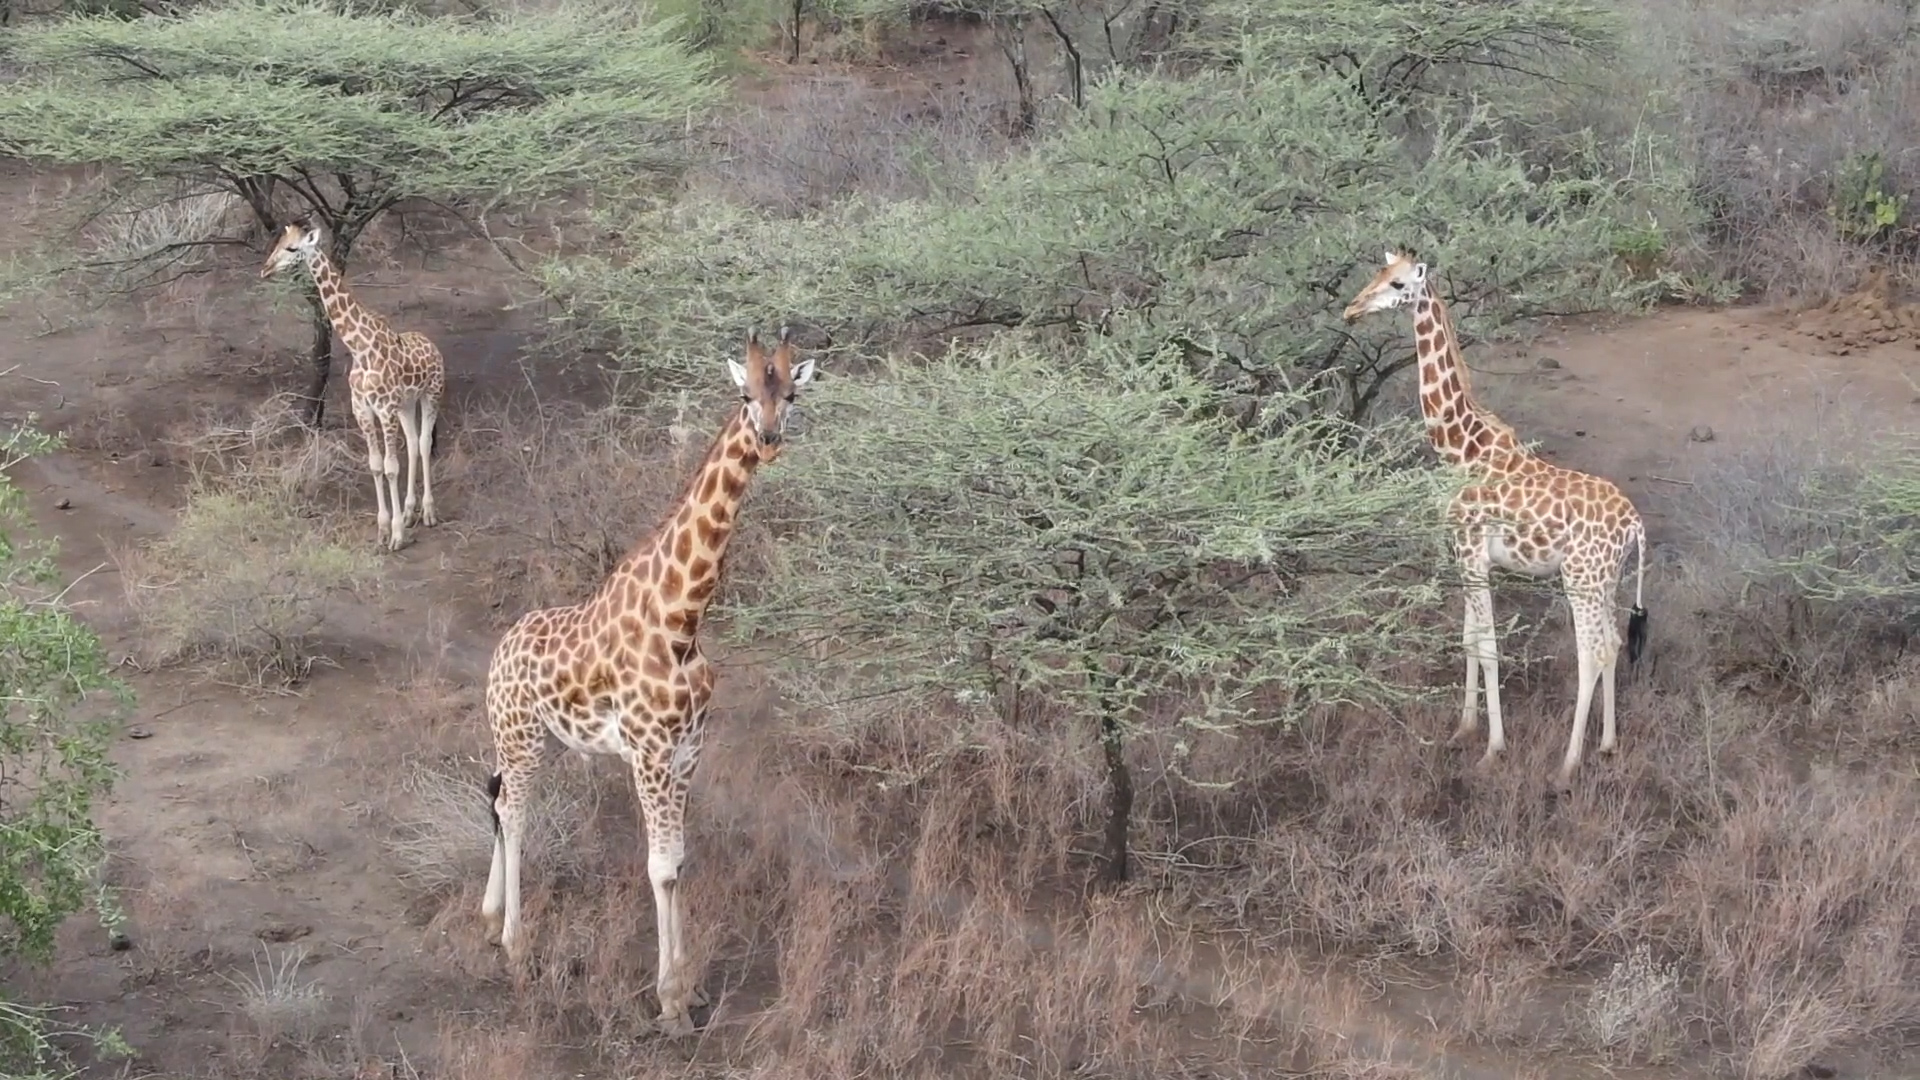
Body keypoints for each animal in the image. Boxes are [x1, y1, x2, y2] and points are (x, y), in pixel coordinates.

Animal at [261, 221, 446, 552]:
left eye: (292, 248)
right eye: (279, 243)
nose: (265, 269)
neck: (360, 347)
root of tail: (433, 346)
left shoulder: (384, 409)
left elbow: (390, 466)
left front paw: (397, 536)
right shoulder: (363, 408)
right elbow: (375, 464)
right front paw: (383, 530)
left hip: (431, 394)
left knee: (424, 442)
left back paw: (427, 513)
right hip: (406, 404)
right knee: (413, 443)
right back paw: (409, 511)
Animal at [480, 326, 816, 1036]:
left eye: (792, 394)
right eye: (745, 395)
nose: (770, 441)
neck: (683, 618)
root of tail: (498, 651)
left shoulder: (688, 751)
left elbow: (679, 861)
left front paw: (690, 989)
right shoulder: (650, 754)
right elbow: (660, 869)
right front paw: (668, 1003)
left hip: (542, 741)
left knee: (498, 801)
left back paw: (492, 915)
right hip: (520, 736)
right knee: (515, 811)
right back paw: (516, 944)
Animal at [1343, 251, 1648, 787]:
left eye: (1398, 284)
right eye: (1376, 274)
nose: (1351, 310)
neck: (1460, 449)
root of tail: (1635, 524)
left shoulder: (1470, 550)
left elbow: (1487, 646)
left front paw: (1493, 750)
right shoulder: (1469, 558)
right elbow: (1469, 639)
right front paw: (1463, 729)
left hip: (1580, 578)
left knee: (1592, 652)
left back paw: (1567, 765)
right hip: (1608, 579)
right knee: (1612, 642)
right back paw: (1608, 744)